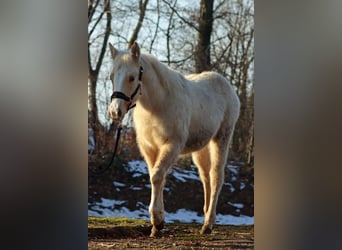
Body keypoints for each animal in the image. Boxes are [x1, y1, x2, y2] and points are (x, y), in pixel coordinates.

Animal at [108, 42, 239, 237]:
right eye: (111, 77)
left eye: (131, 78)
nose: (115, 112)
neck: (157, 106)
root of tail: (227, 86)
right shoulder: (149, 148)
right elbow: (157, 177)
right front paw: (158, 224)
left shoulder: (172, 145)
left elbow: (156, 176)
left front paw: (157, 221)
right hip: (201, 148)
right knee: (206, 177)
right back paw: (206, 217)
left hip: (222, 138)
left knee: (216, 176)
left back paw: (208, 224)